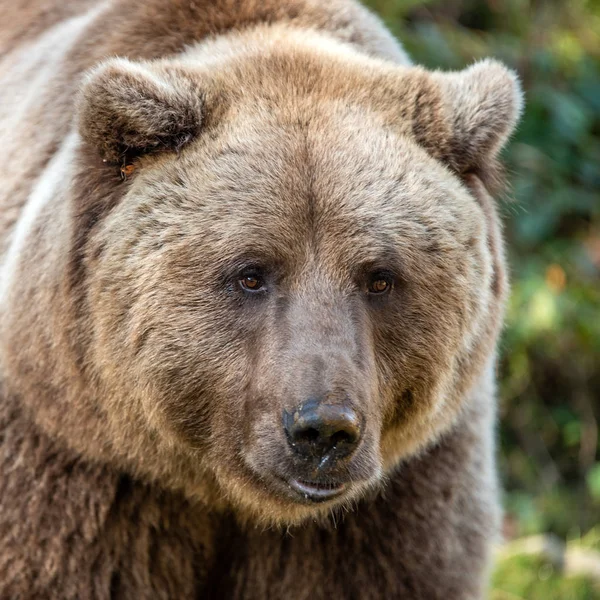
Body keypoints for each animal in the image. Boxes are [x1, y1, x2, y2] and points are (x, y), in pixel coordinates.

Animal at [0, 0, 520, 596]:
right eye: (251, 274)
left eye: (380, 278)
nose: (323, 430)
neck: (229, 498)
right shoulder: (80, 464)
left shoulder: (398, 501)